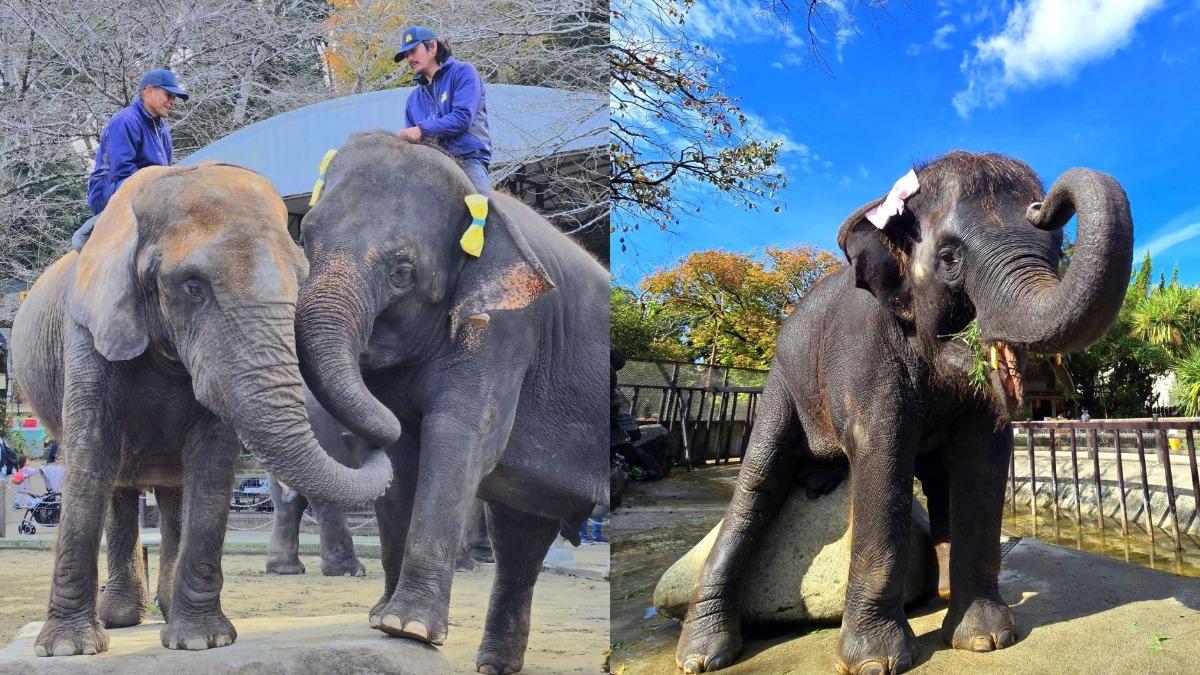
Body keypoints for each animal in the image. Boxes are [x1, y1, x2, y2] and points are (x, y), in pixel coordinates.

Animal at [9, 163, 392, 657]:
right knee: (118, 485)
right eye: (193, 286)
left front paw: (201, 642)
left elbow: (211, 467)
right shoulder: (88, 334)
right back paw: (120, 618)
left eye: (300, 278)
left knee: (172, 491)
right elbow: (90, 461)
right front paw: (66, 650)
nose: (371, 441)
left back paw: (163, 611)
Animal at [294, 131, 608, 674]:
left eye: (403, 271)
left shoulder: (507, 328)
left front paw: (408, 629)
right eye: (306, 238)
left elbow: (460, 436)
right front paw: (383, 620)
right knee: (520, 538)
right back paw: (494, 666)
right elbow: (405, 456)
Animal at [674, 152, 1133, 674]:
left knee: (936, 479)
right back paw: (701, 656)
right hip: (783, 381)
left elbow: (983, 458)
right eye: (950, 257)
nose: (1044, 206)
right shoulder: (866, 349)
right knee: (758, 479)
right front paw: (878, 662)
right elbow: (881, 450)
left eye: (1056, 250)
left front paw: (987, 641)